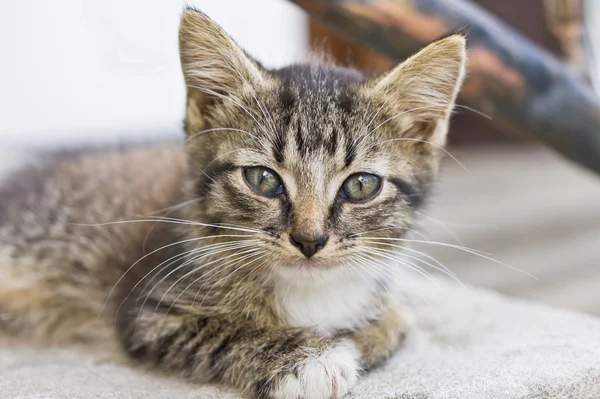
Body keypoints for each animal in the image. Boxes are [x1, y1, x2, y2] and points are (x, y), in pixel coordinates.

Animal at [0, 7, 466, 399]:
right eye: (263, 179)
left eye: (361, 186)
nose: (310, 240)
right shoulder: (148, 310)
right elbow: (221, 330)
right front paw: (312, 359)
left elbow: (399, 321)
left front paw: (362, 334)